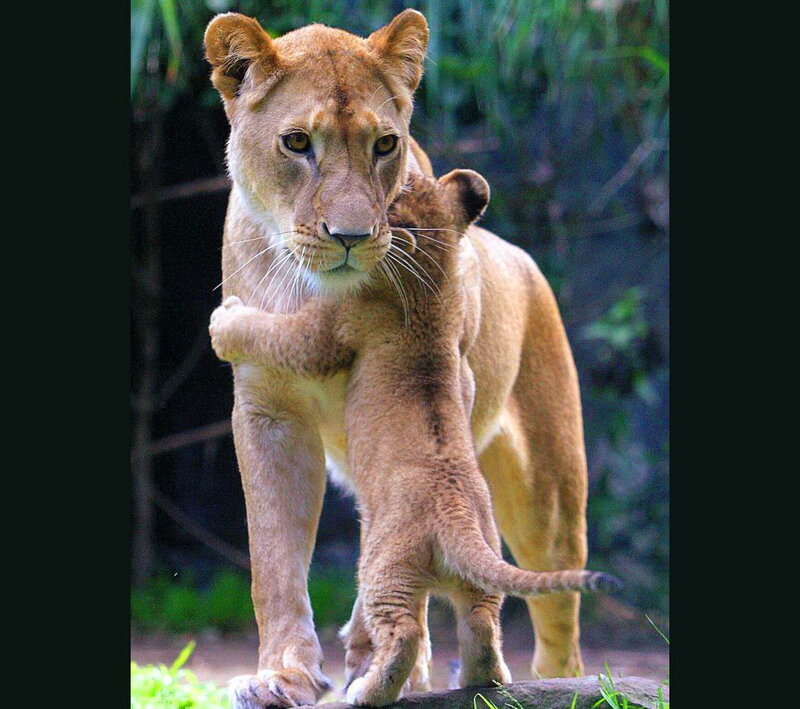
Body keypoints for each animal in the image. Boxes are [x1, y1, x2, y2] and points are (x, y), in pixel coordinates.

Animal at [204, 9, 599, 708]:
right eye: (297, 143)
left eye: (385, 145)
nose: (353, 237)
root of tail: (523, 259)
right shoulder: (267, 411)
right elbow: (273, 558)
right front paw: (283, 676)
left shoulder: (375, 350)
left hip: (547, 500)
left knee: (554, 617)